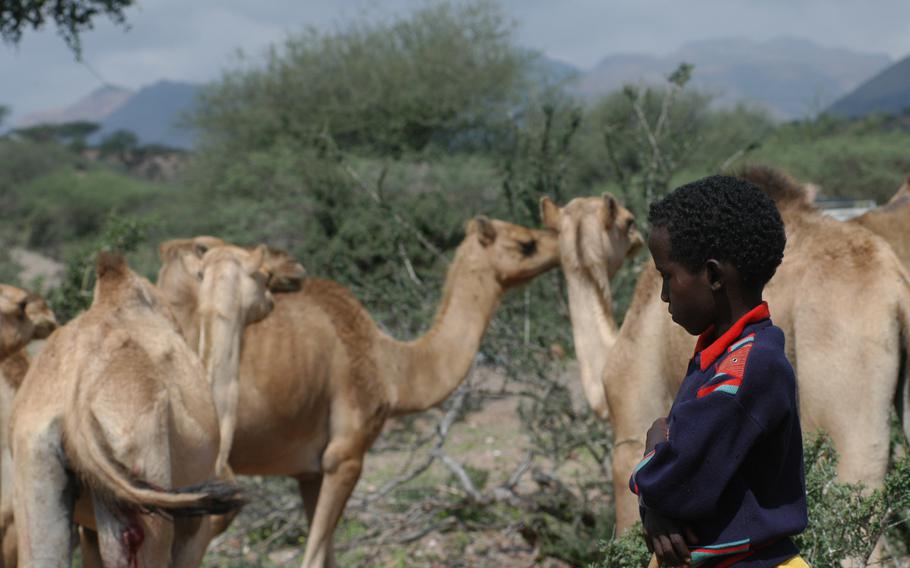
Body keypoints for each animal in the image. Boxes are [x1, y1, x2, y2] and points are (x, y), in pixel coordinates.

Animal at [9, 250, 270, 568]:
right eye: (262, 276)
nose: (273, 298)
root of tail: (74, 404)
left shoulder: (87, 534)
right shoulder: (196, 532)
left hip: (34, 466)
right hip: (143, 464)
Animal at [159, 215, 564, 564]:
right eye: (526, 243)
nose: (559, 240)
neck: (391, 368)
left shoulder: (309, 472)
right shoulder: (345, 455)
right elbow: (314, 556)